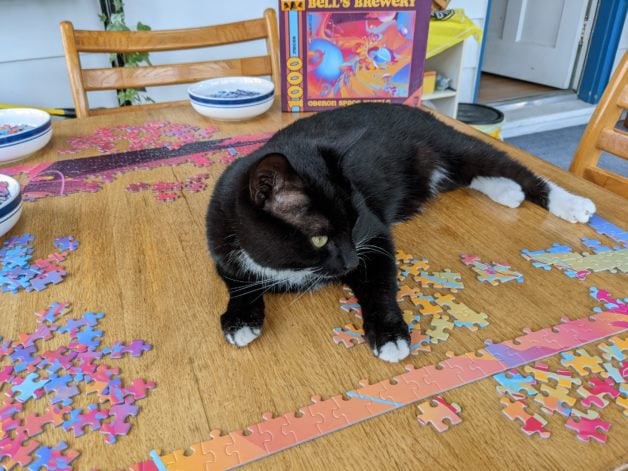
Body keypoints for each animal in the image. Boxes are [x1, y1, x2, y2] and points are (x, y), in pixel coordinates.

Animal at [205, 102, 592, 362]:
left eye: (354, 221)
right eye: (319, 237)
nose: (350, 261)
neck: (287, 267)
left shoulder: (374, 235)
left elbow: (378, 283)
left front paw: (389, 333)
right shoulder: (220, 243)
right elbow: (237, 281)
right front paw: (240, 319)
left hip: (454, 143)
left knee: (514, 169)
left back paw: (569, 203)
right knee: (466, 177)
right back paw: (507, 191)